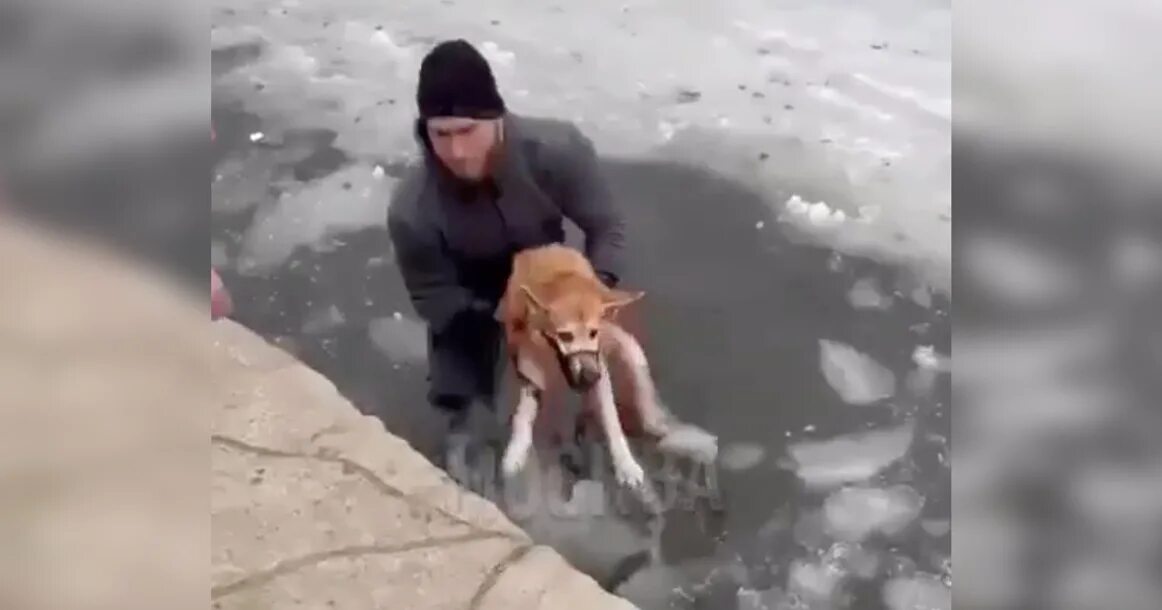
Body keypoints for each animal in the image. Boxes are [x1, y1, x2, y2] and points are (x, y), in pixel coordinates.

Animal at [497, 245, 678, 488]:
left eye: (593, 333)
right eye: (565, 335)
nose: (591, 376)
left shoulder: (598, 362)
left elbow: (612, 420)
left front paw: (626, 464)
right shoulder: (529, 367)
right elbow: (523, 416)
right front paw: (516, 452)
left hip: (625, 348)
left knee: (639, 376)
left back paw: (652, 418)